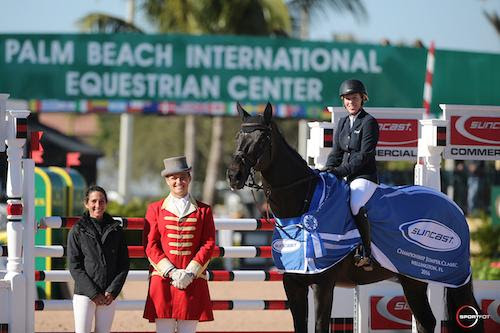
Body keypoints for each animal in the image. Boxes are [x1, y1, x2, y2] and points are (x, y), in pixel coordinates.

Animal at [228, 102, 484, 332]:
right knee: (426, 322)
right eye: (238, 137)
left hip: (442, 277)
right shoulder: (293, 283)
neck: (304, 205)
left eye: (262, 140)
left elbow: (320, 326)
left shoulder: (323, 283)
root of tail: (454, 206)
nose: (233, 175)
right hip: (413, 279)